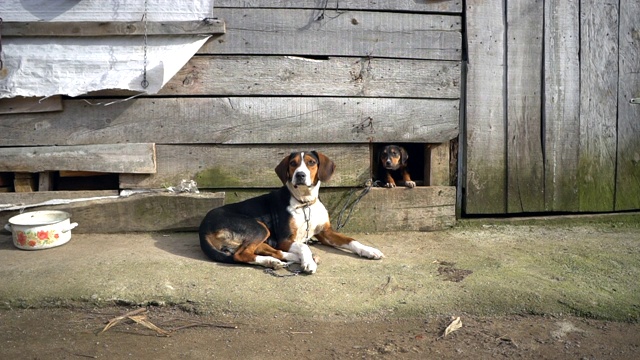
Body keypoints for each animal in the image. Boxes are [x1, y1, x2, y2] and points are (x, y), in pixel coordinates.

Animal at [198, 150, 382, 274]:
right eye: (293, 163)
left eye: (311, 162)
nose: (300, 175)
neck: (305, 203)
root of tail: (203, 227)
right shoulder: (285, 239)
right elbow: (303, 246)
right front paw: (308, 263)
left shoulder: (325, 232)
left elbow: (351, 240)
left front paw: (370, 250)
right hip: (259, 228)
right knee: (242, 255)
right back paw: (292, 259)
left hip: (262, 235)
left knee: (263, 251)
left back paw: (279, 261)